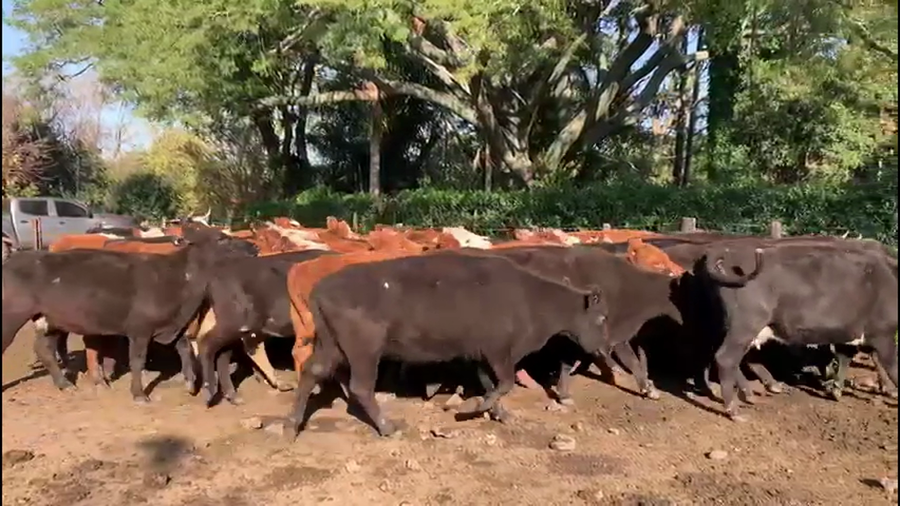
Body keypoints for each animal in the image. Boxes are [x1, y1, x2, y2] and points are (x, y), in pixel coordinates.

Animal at [1, 226, 259, 402]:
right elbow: (137, 360)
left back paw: (65, 384)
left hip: (52, 319)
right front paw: (139, 394)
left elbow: (184, 348)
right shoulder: (139, 329)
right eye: (221, 238)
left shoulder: (172, 325)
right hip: (12, 317)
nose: (254, 248)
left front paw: (189, 383)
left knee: (44, 349)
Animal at [284, 253, 610, 437]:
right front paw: (475, 409)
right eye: (602, 318)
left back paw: (291, 426)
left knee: (312, 372)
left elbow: (490, 384)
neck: (531, 298)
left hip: (330, 346)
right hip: (364, 351)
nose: (605, 349)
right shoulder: (499, 353)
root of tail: (320, 288)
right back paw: (388, 428)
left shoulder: (480, 356)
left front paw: (499, 413)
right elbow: (503, 384)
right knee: (361, 387)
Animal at [699, 241, 898, 421]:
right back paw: (734, 411)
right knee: (726, 358)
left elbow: (846, 357)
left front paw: (836, 390)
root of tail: (733, 252)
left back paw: (750, 393)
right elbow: (891, 366)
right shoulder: (883, 334)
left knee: (736, 358)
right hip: (746, 324)